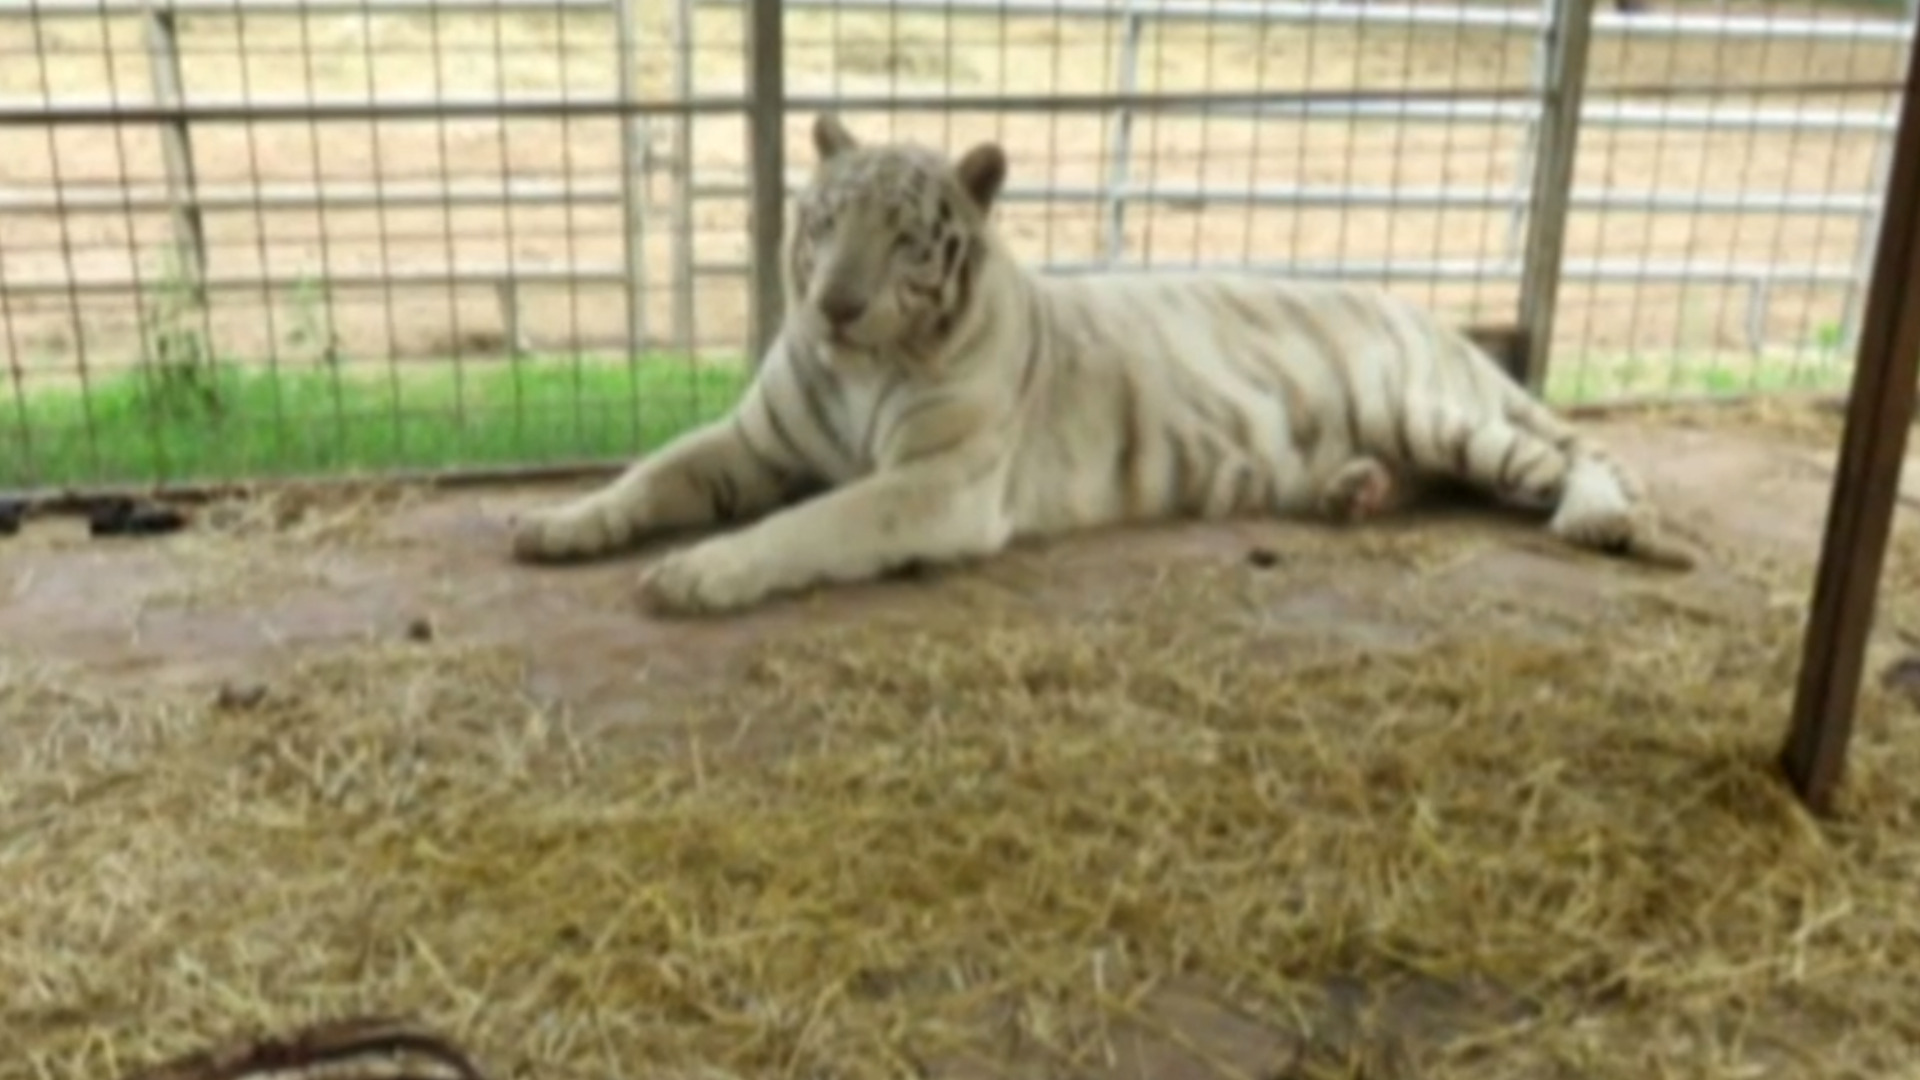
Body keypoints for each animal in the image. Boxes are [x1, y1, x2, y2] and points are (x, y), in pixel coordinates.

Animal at [510, 111, 1697, 614]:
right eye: (826, 222)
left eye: (903, 240)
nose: (836, 306)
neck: (860, 367)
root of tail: (1438, 319)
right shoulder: (752, 439)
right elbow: (647, 474)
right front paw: (557, 525)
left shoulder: (937, 482)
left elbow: (811, 524)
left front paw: (700, 572)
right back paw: (1352, 491)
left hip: (1436, 407)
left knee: (1576, 458)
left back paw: (1599, 519)